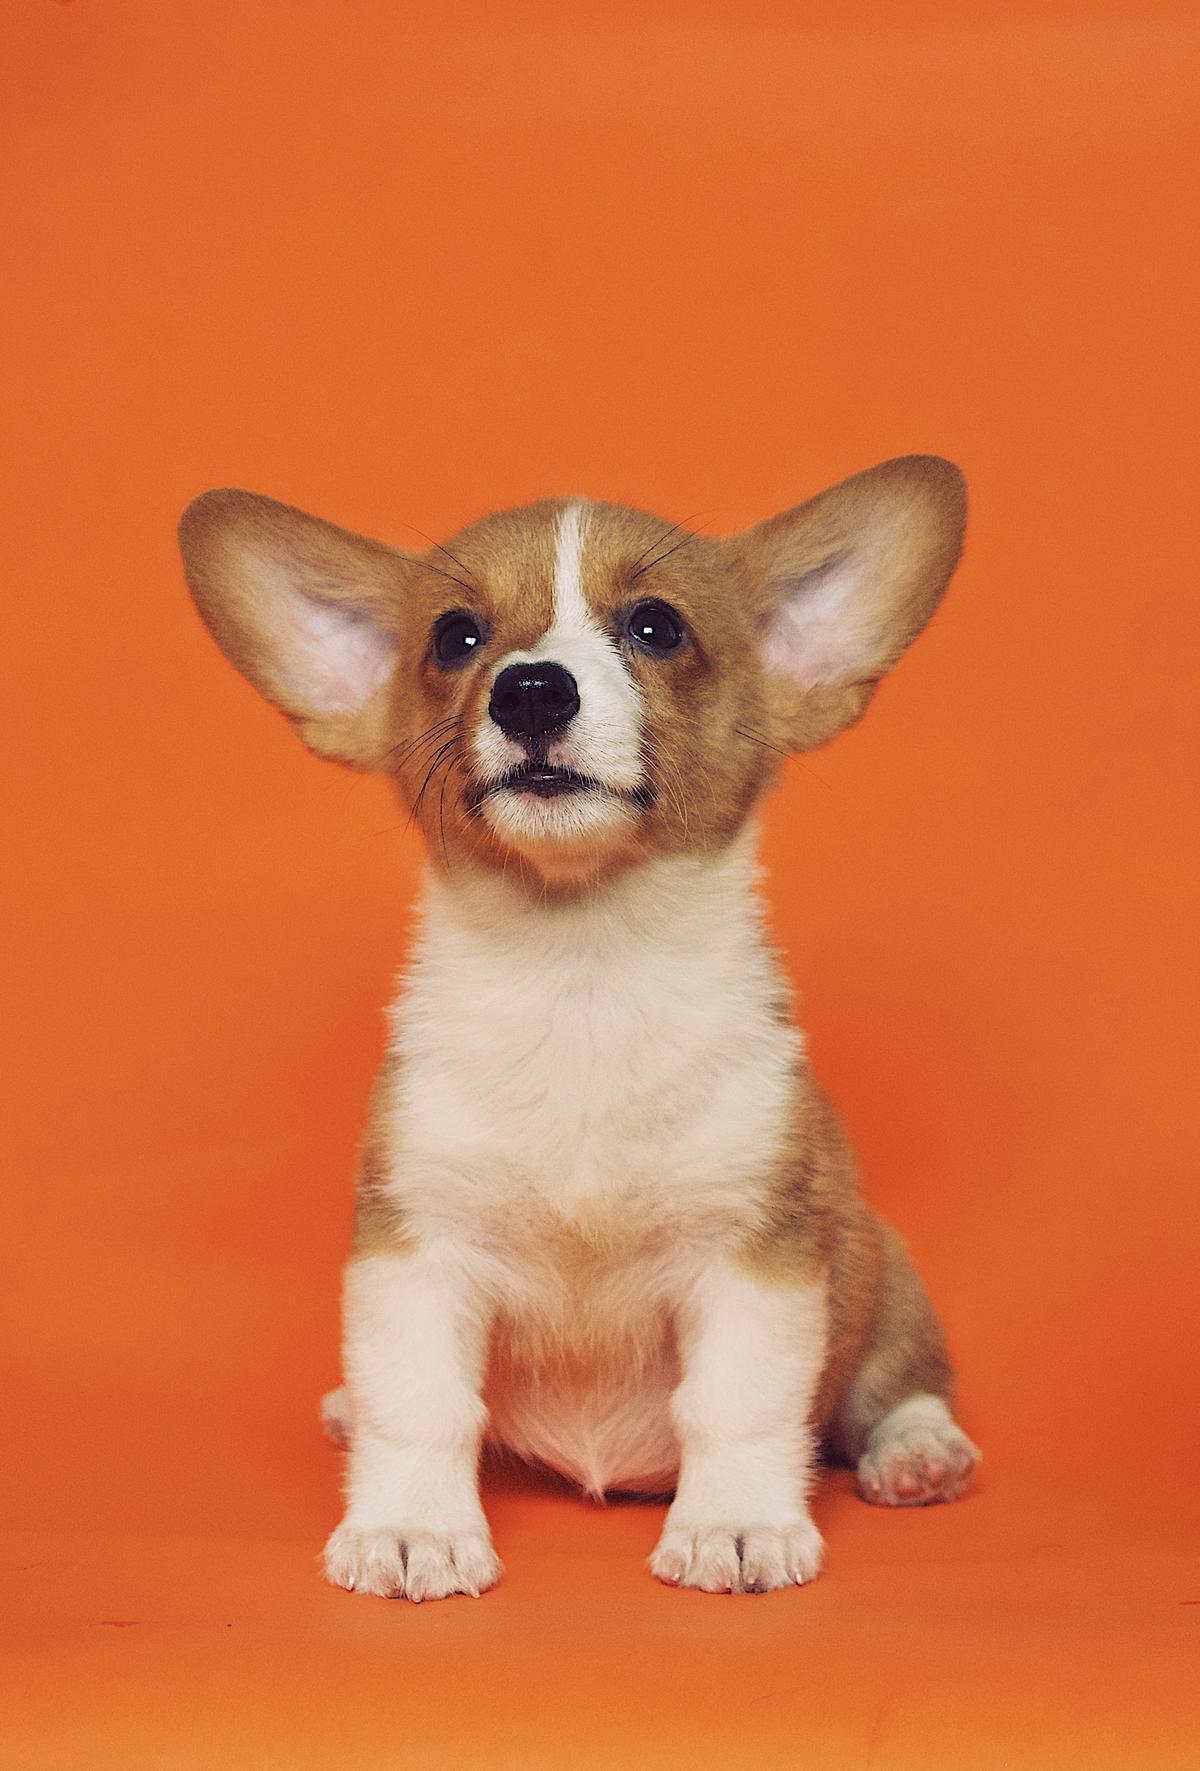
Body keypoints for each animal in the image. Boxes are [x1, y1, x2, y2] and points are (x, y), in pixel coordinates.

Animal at [181, 456, 984, 1608]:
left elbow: (736, 1405)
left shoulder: (754, 1256)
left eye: (656, 627)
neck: (582, 975)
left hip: (886, 1279)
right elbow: (417, 1404)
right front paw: (411, 1528)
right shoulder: (416, 1250)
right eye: (456, 637)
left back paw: (919, 1454)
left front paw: (736, 1524)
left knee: (895, 1387)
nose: (530, 690)